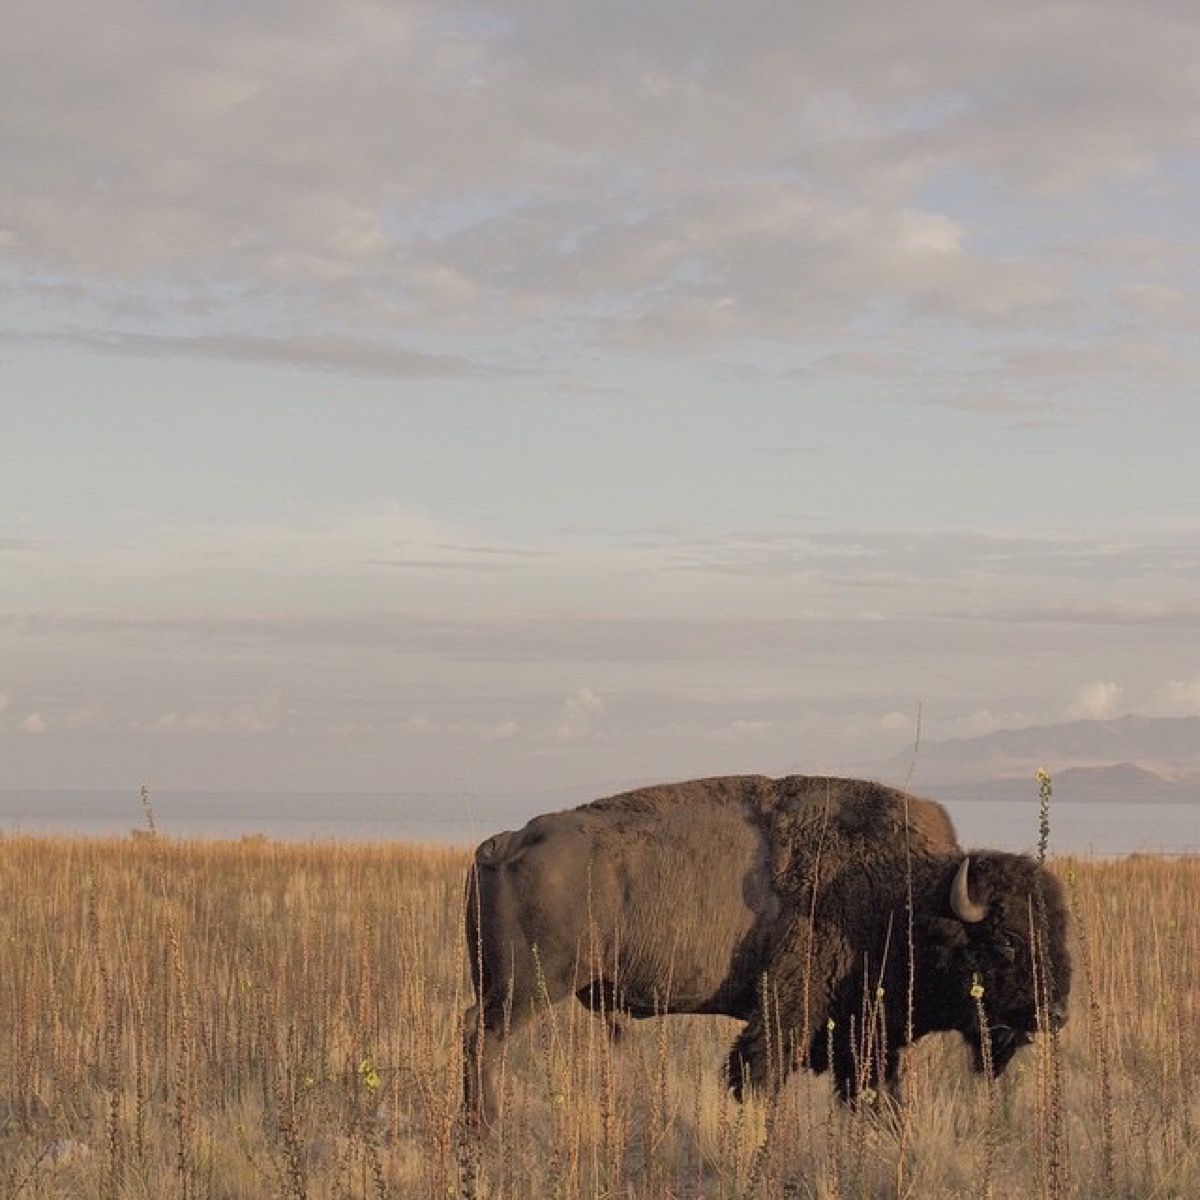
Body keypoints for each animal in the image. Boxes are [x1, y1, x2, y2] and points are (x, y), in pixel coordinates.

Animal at [463, 774, 1071, 1127]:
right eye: (1008, 940)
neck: (907, 894)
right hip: (526, 987)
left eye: (1059, 933)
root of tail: (502, 843)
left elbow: (876, 1094)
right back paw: (485, 1124)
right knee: (482, 1037)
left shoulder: (863, 1034)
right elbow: (757, 1072)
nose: (1057, 1013)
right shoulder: (786, 1012)